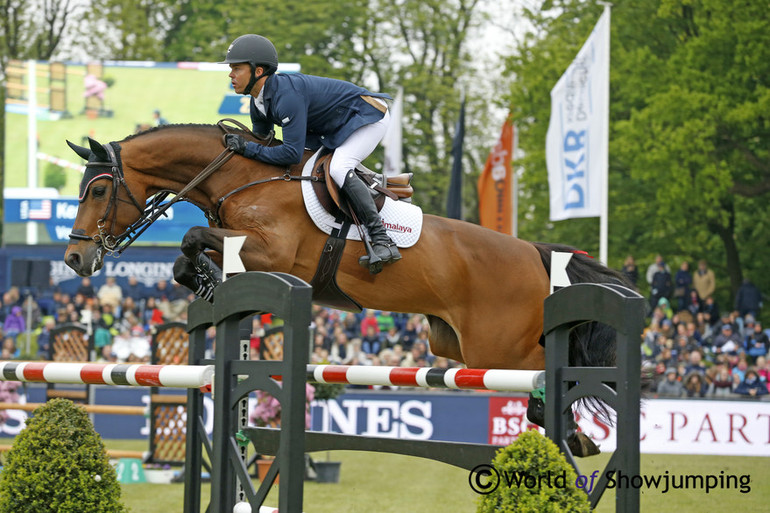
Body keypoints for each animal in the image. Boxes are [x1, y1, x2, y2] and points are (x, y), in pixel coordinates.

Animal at [64, 122, 632, 454]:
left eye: (98, 189)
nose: (74, 258)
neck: (243, 177)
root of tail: (535, 253)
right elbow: (188, 252)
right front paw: (204, 282)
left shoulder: (270, 253)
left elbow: (190, 238)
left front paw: (204, 276)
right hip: (453, 343)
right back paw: (577, 438)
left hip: (498, 350)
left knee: (551, 378)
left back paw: (575, 437)